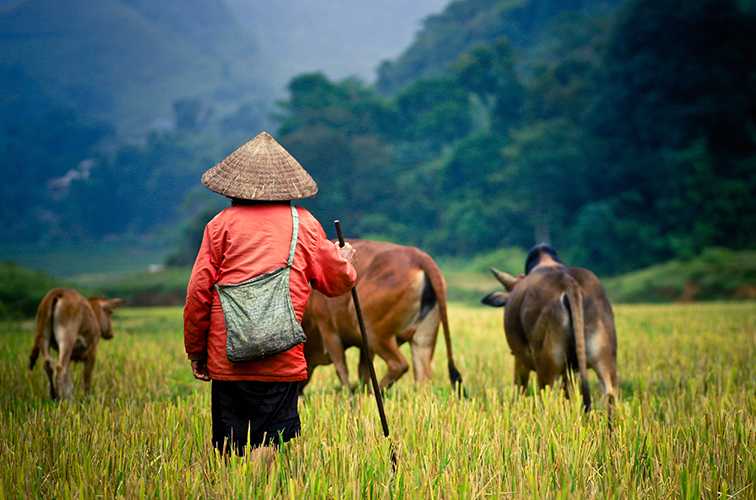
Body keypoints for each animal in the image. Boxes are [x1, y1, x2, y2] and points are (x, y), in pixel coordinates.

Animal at [302, 240, 460, 392]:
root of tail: (418, 257)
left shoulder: (328, 330)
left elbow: (342, 369)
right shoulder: (364, 347)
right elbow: (363, 371)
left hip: (373, 331)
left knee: (399, 364)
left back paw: (376, 392)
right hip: (423, 339)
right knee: (423, 380)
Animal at [482, 243, 616, 414]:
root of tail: (569, 283)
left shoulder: (520, 358)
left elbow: (520, 390)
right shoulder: (569, 371)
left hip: (547, 365)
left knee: (545, 399)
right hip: (604, 359)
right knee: (610, 395)